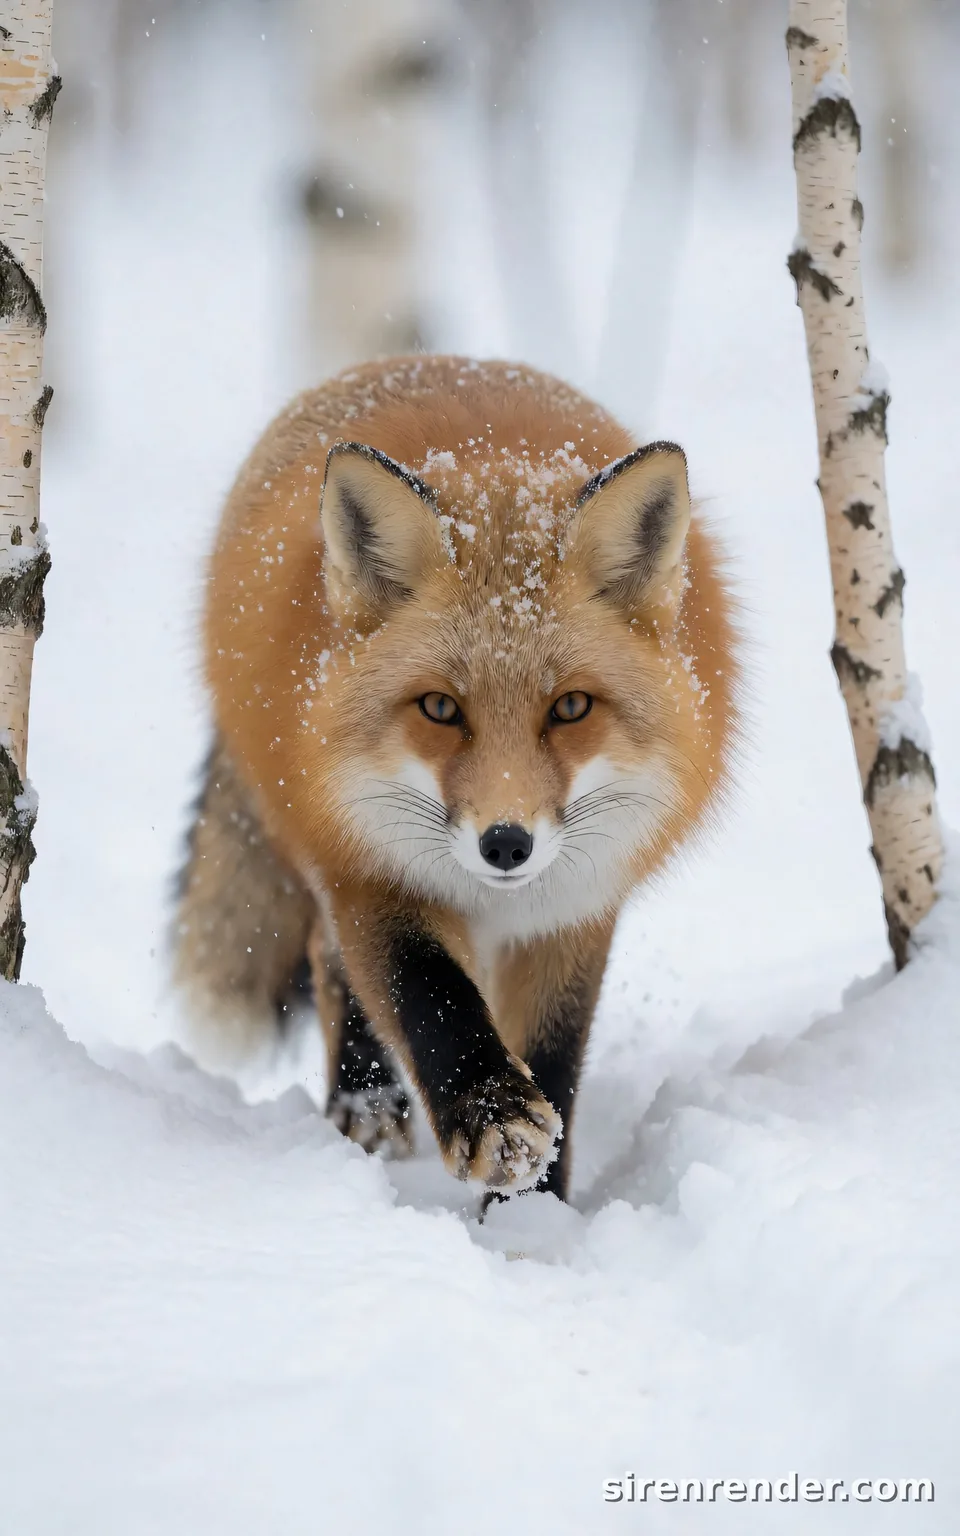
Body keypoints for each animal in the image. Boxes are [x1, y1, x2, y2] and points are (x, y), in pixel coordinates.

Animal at [173, 355, 739, 1201]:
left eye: (571, 707)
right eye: (440, 708)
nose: (505, 845)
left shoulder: (576, 904)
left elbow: (555, 1051)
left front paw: (535, 1209)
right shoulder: (367, 866)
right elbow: (427, 993)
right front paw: (491, 1115)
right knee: (328, 963)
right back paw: (365, 1106)